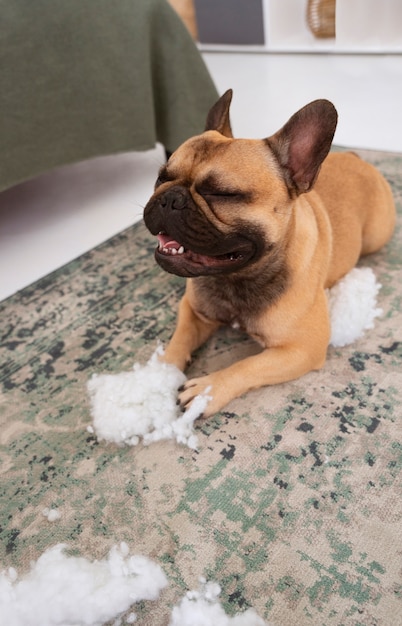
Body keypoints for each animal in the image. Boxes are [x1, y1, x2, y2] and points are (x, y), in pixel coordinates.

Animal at [144, 89, 396, 414]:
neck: (235, 278)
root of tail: (357, 158)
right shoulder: (193, 310)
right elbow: (179, 339)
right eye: (161, 178)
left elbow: (248, 365)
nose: (169, 199)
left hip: (376, 236)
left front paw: (208, 389)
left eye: (222, 194)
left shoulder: (302, 349)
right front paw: (157, 377)